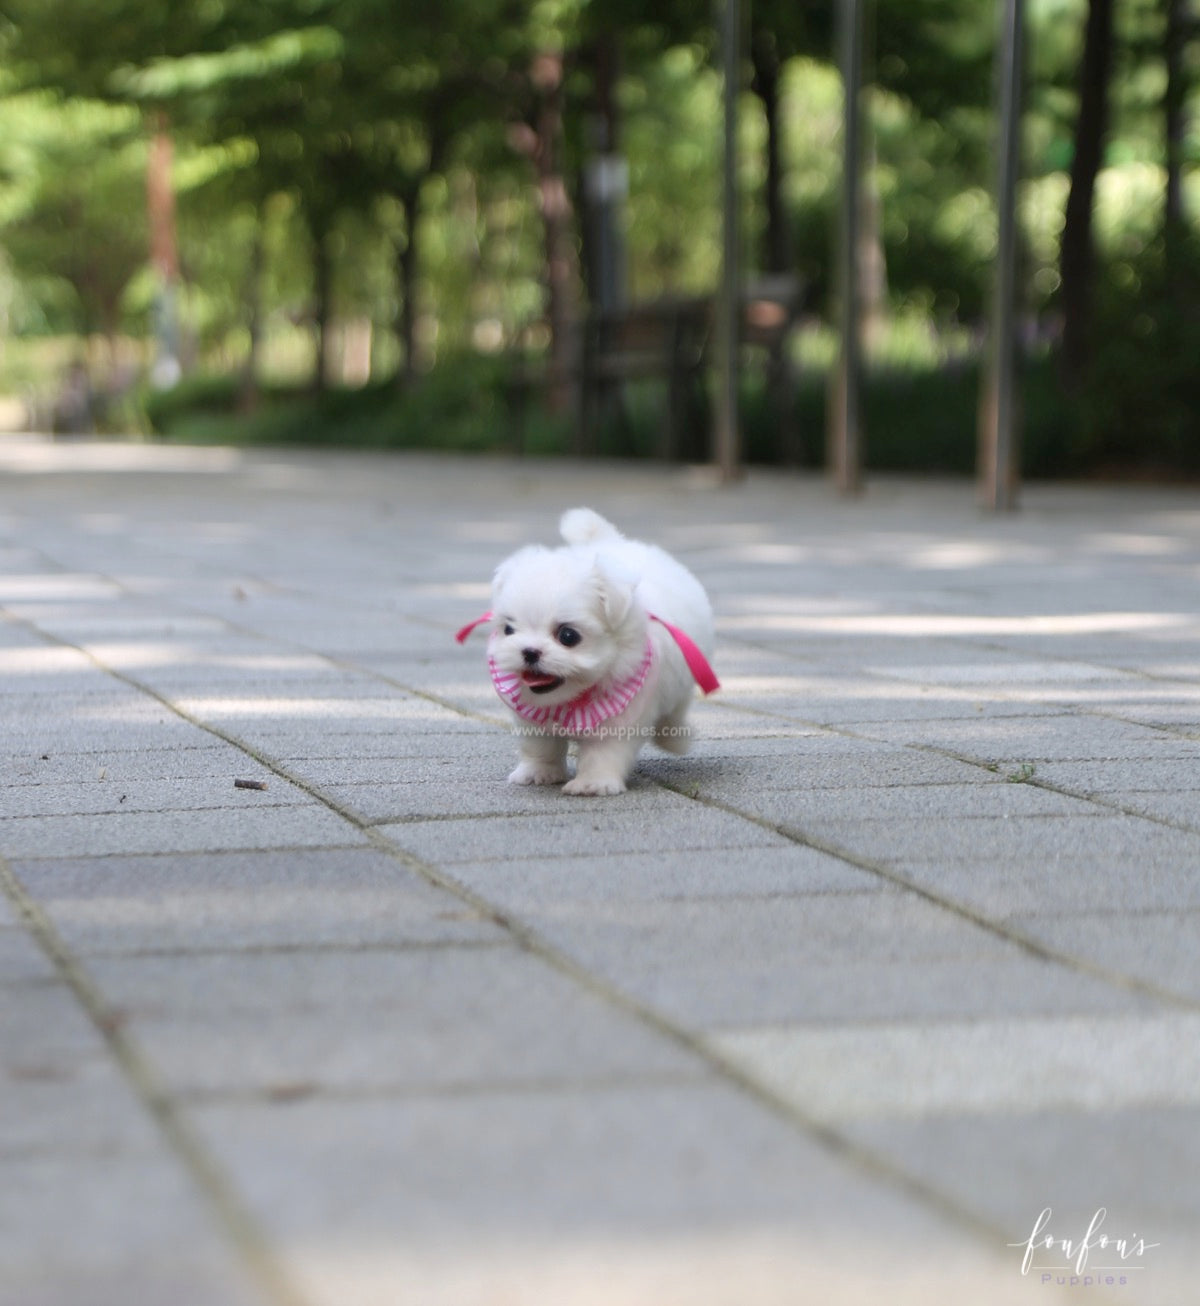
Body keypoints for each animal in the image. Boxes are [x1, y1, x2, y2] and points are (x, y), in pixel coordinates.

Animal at [457, 506, 720, 794]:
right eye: (508, 629)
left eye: (568, 636)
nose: (529, 651)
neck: (572, 697)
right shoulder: (532, 715)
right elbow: (540, 745)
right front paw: (539, 772)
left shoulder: (621, 713)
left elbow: (603, 751)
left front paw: (593, 783)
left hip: (683, 673)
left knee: (675, 709)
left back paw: (674, 739)